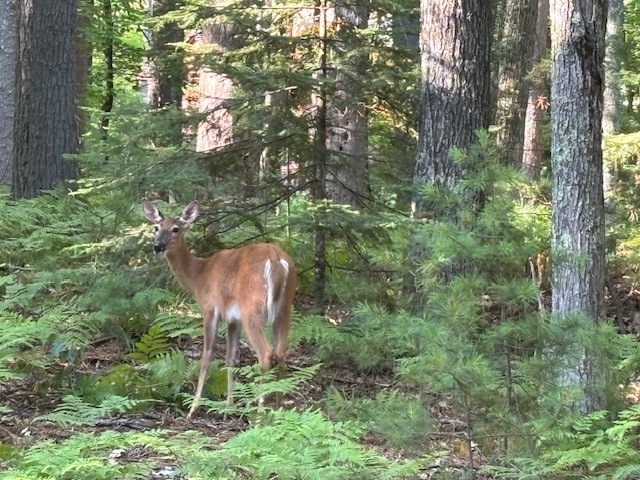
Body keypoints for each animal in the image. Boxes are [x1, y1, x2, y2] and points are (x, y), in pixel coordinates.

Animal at [141, 199, 297, 419]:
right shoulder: (233, 318)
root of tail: (275, 260)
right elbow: (230, 358)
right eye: (156, 227)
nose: (157, 246)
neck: (198, 276)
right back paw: (279, 409)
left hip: (252, 307)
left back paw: (259, 416)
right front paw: (228, 407)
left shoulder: (210, 309)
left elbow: (206, 356)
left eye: (175, 229)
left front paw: (193, 408)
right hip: (284, 307)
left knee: (266, 354)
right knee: (281, 352)